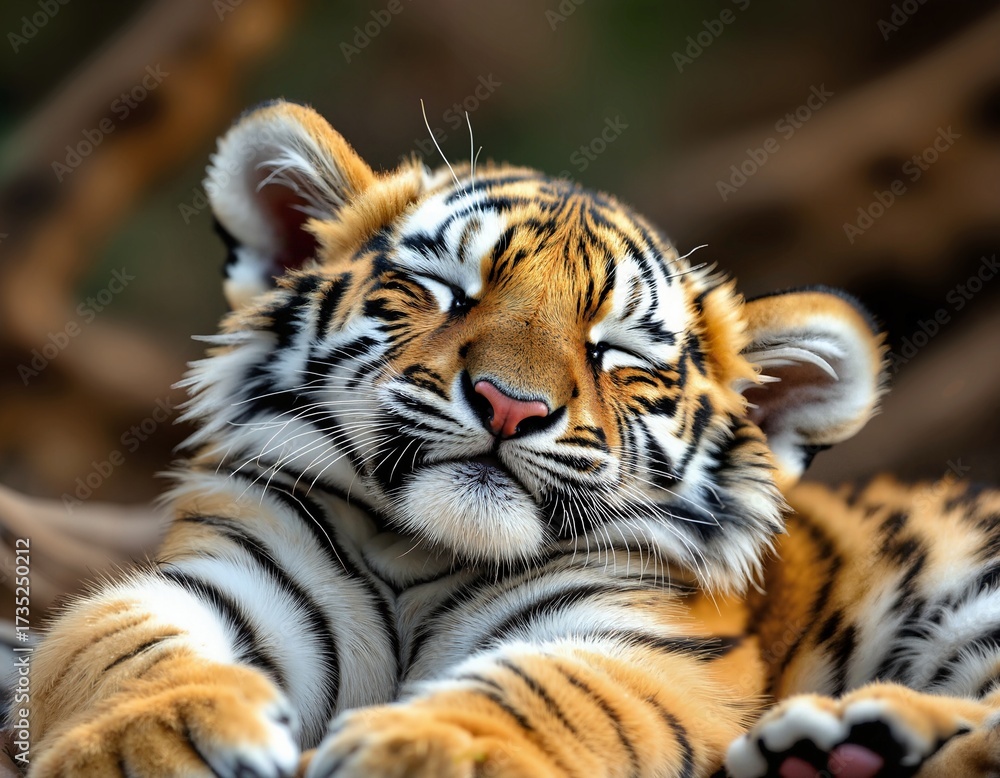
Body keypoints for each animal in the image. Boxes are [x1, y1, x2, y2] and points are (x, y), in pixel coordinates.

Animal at [18, 100, 1000, 778]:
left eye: (613, 353)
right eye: (447, 292)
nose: (509, 405)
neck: (419, 556)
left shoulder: (644, 647)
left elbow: (547, 694)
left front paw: (428, 749)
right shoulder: (229, 576)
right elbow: (122, 640)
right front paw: (152, 737)